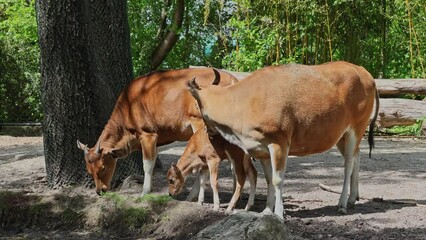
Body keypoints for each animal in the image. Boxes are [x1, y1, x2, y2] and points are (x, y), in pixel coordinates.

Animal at [76, 67, 236, 195]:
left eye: (102, 168)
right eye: (89, 171)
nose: (100, 190)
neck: (128, 106)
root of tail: (233, 80)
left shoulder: (147, 134)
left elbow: (147, 164)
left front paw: (145, 191)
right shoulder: (157, 139)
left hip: (200, 123)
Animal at [188, 61, 382, 218]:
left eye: (197, 104)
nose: (207, 132)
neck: (243, 101)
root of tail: (365, 73)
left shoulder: (279, 143)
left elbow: (277, 179)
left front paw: (279, 213)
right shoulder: (262, 150)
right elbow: (268, 179)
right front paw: (267, 210)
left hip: (356, 128)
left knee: (349, 163)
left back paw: (342, 203)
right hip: (340, 136)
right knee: (357, 157)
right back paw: (352, 198)